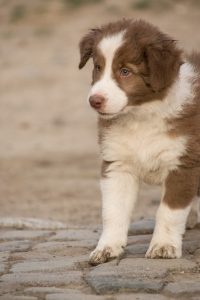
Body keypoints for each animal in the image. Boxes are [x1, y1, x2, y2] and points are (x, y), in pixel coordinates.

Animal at [78, 18, 200, 264]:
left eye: (125, 71)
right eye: (98, 67)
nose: (95, 100)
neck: (140, 116)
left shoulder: (182, 164)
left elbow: (169, 212)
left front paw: (163, 246)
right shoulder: (117, 165)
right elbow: (113, 211)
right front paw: (107, 248)